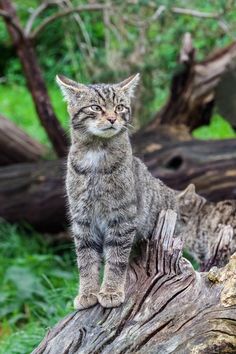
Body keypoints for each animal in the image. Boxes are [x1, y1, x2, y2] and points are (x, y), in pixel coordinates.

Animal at [55, 73, 177, 308]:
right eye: (95, 107)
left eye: (120, 107)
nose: (112, 118)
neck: (96, 153)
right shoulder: (82, 219)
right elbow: (86, 260)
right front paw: (87, 293)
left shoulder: (122, 218)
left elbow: (116, 259)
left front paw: (111, 291)